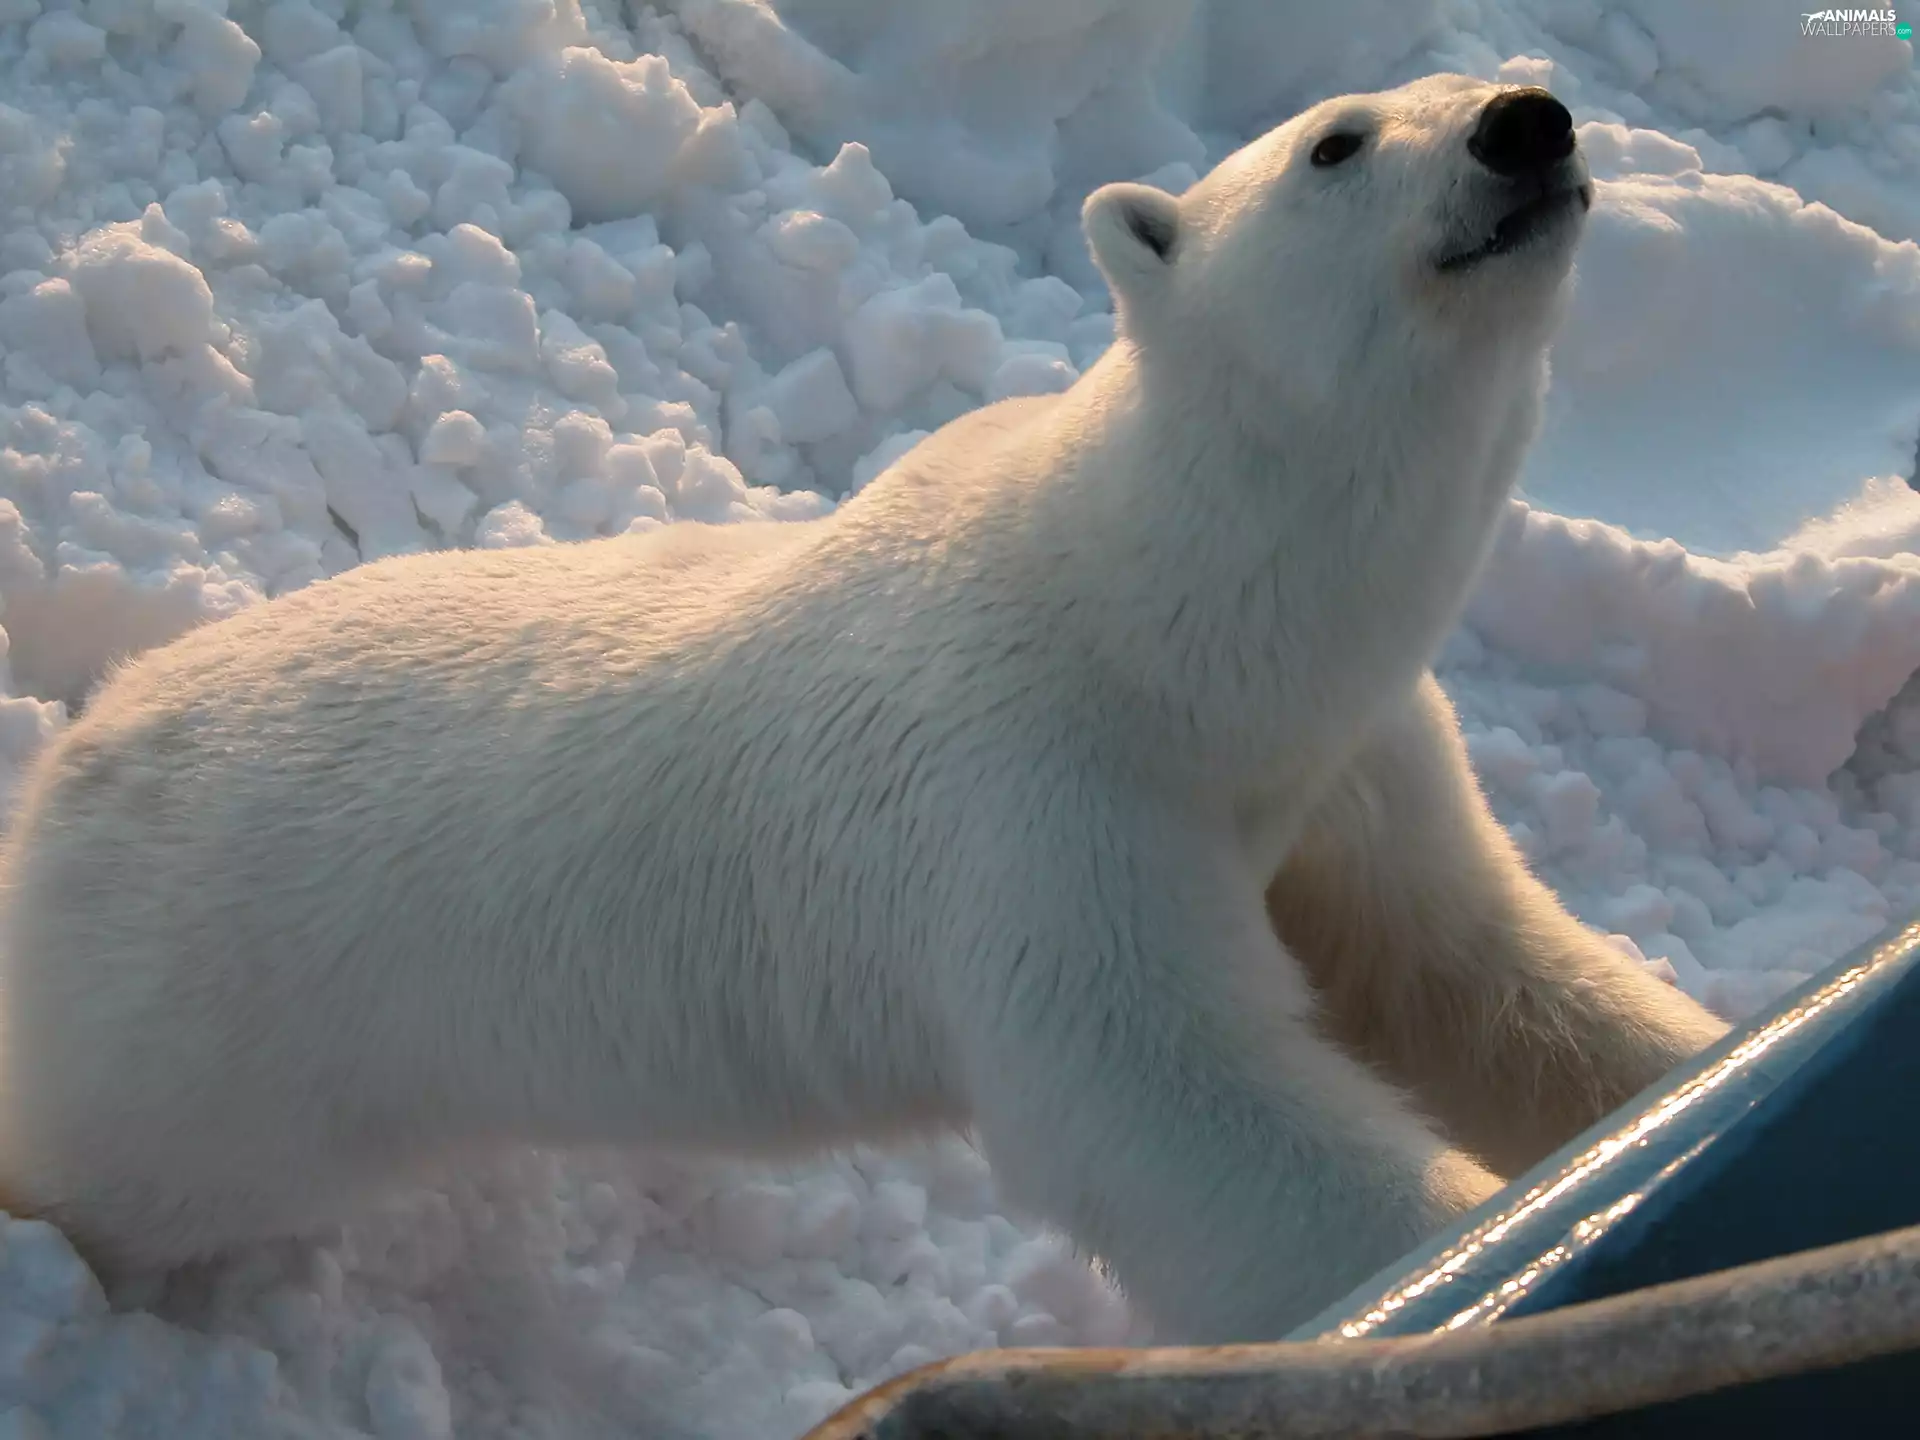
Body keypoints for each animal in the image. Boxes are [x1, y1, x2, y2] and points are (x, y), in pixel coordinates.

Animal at [0, 74, 1727, 1342]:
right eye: (1338, 140)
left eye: (1482, 69)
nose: (1528, 119)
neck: (1166, 636)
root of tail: (70, 768)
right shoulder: (1033, 826)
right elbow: (1191, 1128)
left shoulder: (1342, 769)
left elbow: (1476, 981)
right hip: (197, 1053)